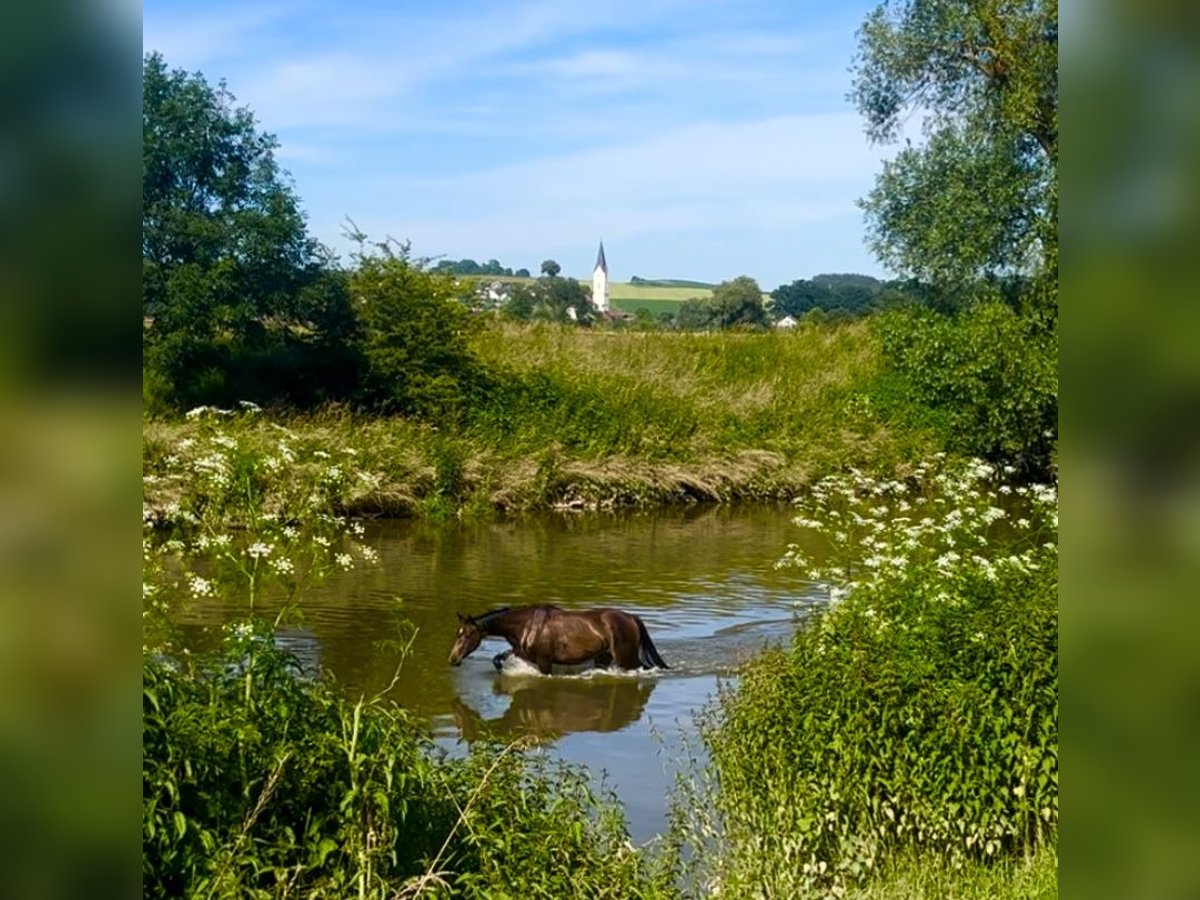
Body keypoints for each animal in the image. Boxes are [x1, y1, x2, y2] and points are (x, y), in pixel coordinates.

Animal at [448, 607, 672, 676]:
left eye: (467, 635)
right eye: (457, 634)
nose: (453, 659)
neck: (526, 625)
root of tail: (632, 618)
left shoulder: (544, 662)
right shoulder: (521, 652)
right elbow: (498, 658)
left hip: (627, 658)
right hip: (604, 657)